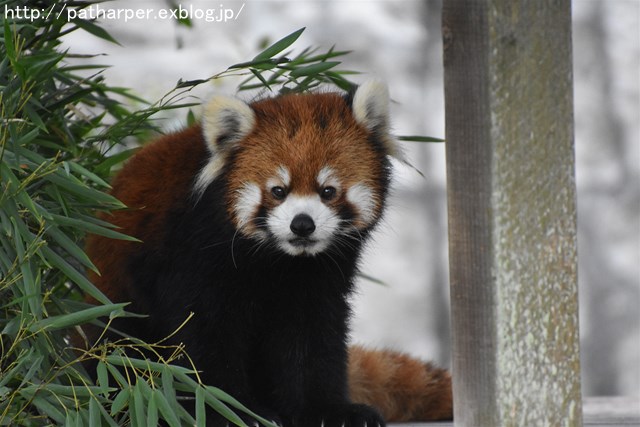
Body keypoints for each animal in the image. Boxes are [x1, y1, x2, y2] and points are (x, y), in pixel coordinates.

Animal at [85, 82, 452, 426]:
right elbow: (204, 336)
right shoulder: (190, 259)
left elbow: (311, 338)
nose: (302, 224)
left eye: (328, 191)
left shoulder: (319, 277)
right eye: (278, 190)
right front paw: (230, 410)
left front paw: (328, 410)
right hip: (114, 307)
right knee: (120, 350)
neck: (275, 259)